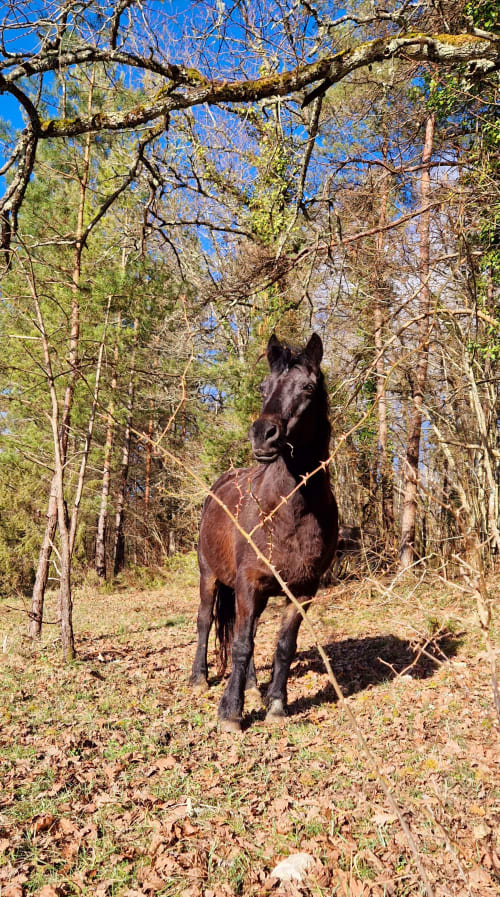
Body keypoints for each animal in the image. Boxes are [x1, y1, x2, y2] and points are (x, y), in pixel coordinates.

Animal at [190, 332, 338, 731]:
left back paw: (254, 688)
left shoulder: (302, 590)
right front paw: (230, 713)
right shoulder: (247, 583)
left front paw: (276, 705)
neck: (290, 511)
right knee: (206, 622)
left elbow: (282, 646)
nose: (262, 434)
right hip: (210, 576)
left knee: (251, 632)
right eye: (263, 387)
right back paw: (199, 678)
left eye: (307, 387)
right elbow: (241, 644)